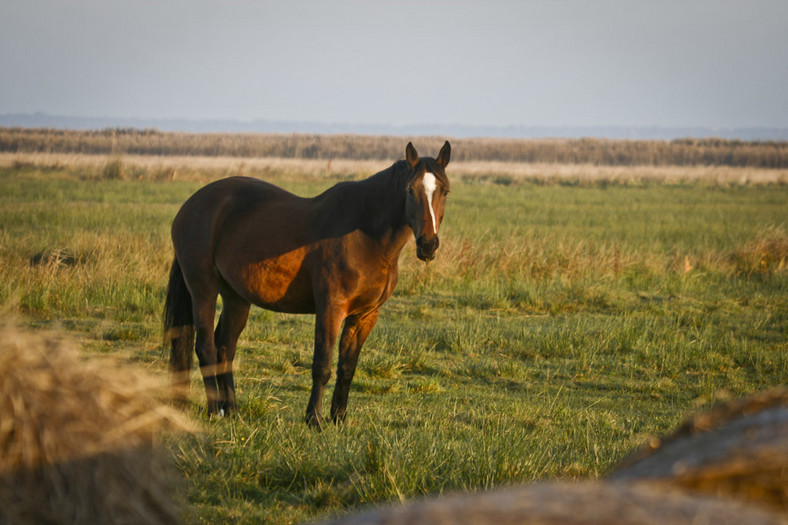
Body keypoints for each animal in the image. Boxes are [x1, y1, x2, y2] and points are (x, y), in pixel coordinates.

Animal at [163, 140, 452, 426]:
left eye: (445, 191)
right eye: (410, 190)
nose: (428, 245)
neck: (366, 236)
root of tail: (192, 204)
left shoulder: (366, 314)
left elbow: (347, 367)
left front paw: (339, 419)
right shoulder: (331, 308)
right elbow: (322, 364)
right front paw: (314, 419)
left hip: (236, 297)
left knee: (225, 348)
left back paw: (232, 410)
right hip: (203, 289)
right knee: (206, 348)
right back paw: (215, 411)